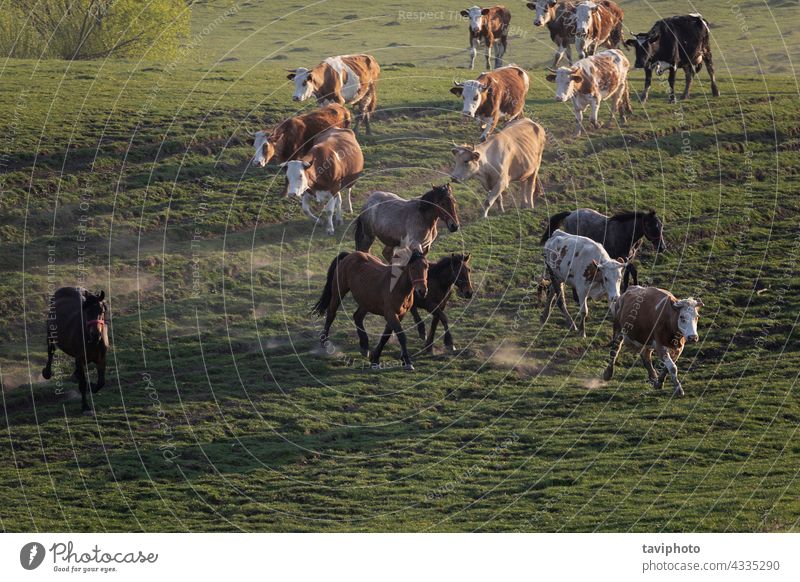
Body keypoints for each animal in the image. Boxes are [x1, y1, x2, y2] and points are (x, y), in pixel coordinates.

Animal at [42, 288, 109, 416]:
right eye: (87, 311)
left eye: (102, 310)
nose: (95, 334)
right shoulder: (79, 358)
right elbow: (82, 384)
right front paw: (85, 407)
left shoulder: (101, 358)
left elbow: (102, 382)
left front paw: (92, 386)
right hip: (51, 334)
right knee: (51, 351)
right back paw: (47, 372)